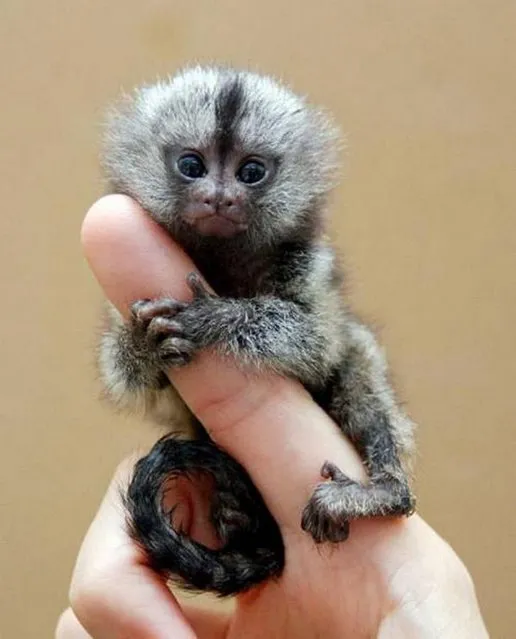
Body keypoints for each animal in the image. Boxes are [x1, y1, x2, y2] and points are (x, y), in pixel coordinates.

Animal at [99, 67, 418, 596]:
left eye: (250, 173)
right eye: (192, 165)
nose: (219, 198)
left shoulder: (304, 262)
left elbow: (318, 344)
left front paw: (215, 317)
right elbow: (131, 377)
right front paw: (141, 345)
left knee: (357, 359)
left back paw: (386, 492)